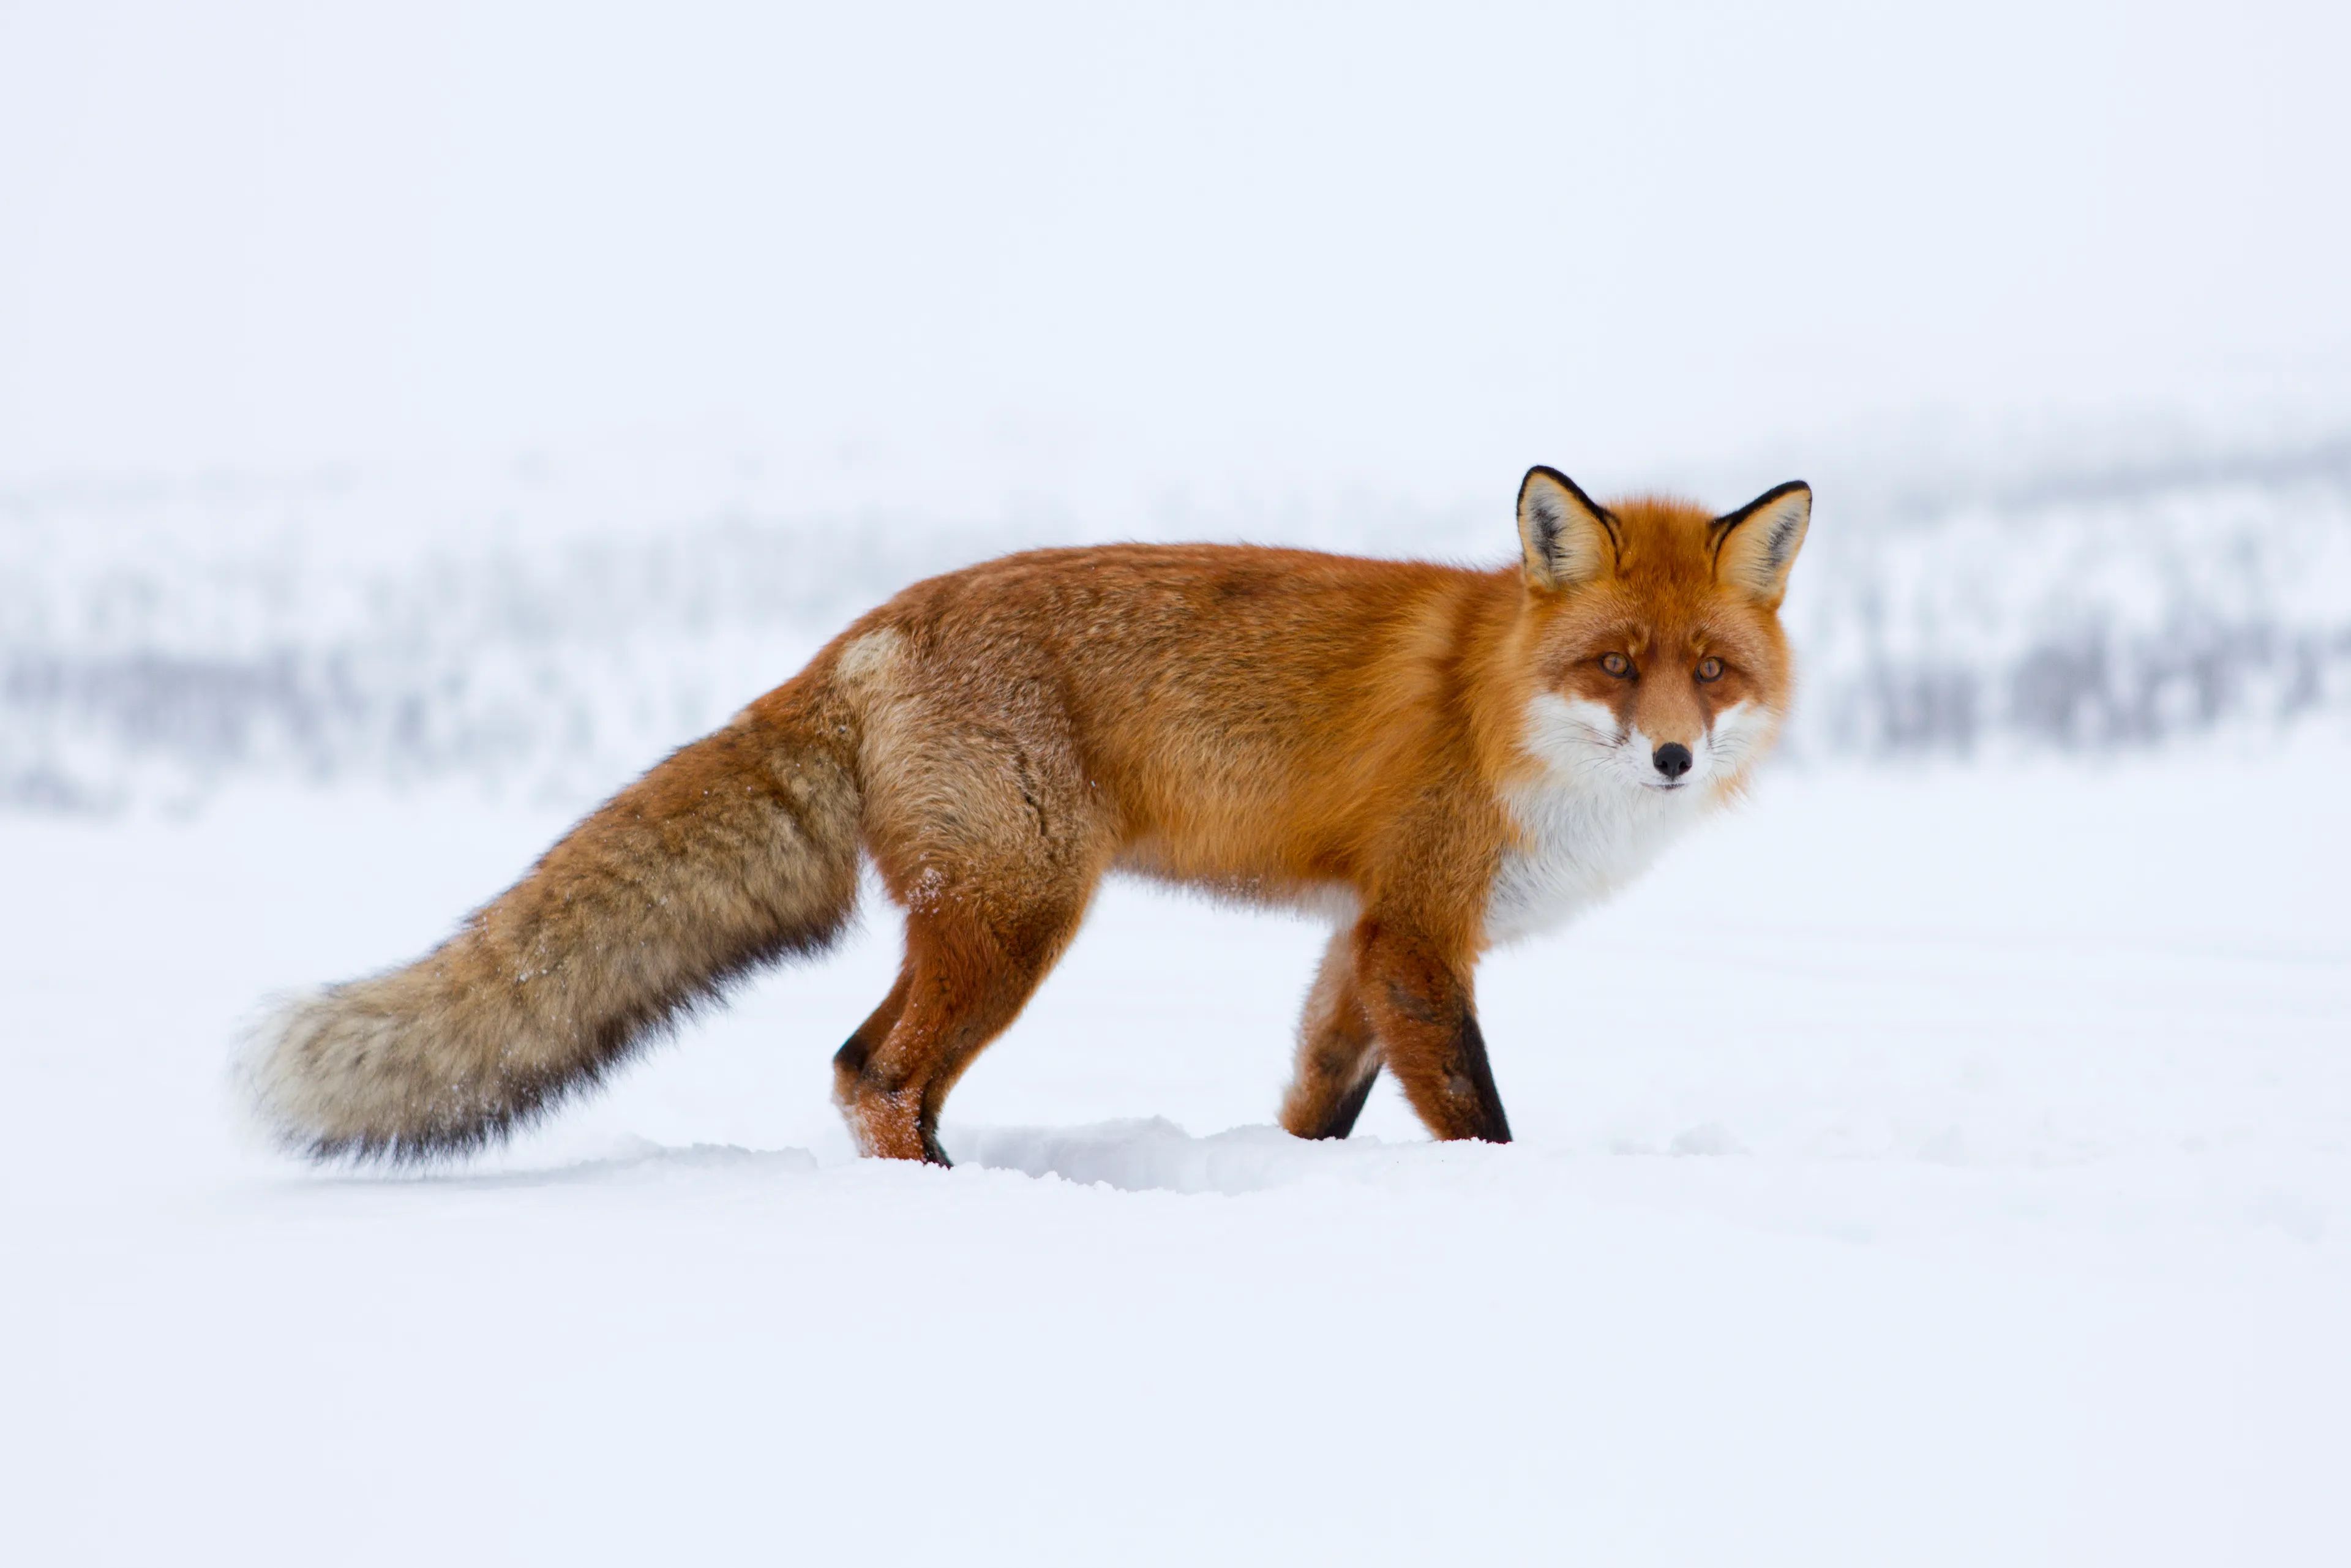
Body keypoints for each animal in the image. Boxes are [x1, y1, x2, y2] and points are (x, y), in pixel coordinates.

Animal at [244, 467, 1810, 1165]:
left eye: (1709, 669)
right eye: (1613, 664)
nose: (1674, 755)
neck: (1497, 707)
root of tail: (867, 632)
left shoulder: (1359, 941)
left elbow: (1320, 1094)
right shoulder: (1422, 934)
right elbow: (1477, 1119)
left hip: (994, 913)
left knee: (870, 1069)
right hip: (1018, 916)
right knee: (872, 1070)